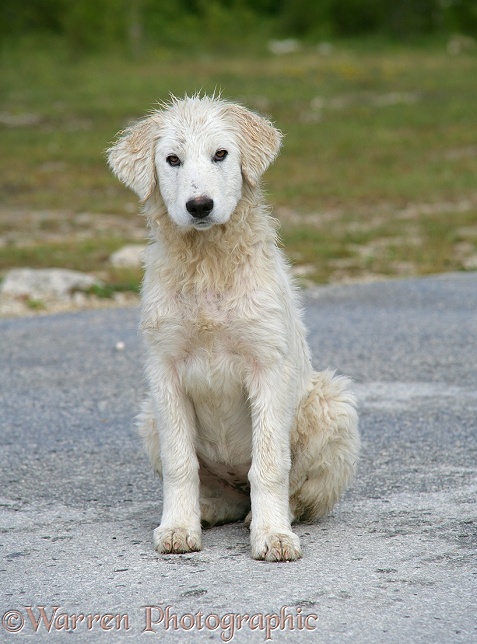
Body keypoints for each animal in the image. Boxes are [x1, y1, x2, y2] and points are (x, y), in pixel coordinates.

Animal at [108, 93, 358, 560]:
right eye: (172, 160)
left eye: (221, 154)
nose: (199, 206)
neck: (208, 260)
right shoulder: (164, 370)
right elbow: (180, 462)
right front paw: (178, 528)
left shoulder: (268, 366)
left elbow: (270, 464)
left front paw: (273, 535)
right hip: (148, 416)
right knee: (219, 490)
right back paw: (207, 511)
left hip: (332, 404)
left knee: (296, 491)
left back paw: (270, 517)